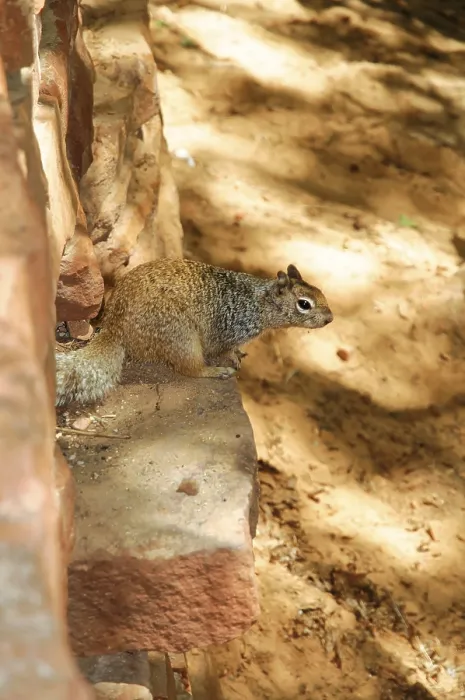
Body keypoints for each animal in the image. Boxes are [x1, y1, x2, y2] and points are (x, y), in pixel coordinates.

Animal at [55, 258, 333, 407]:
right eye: (304, 304)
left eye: (321, 292)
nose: (330, 319)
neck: (258, 302)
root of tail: (114, 325)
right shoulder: (228, 329)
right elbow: (223, 349)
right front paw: (231, 358)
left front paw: (239, 354)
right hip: (181, 337)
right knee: (190, 369)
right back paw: (215, 371)